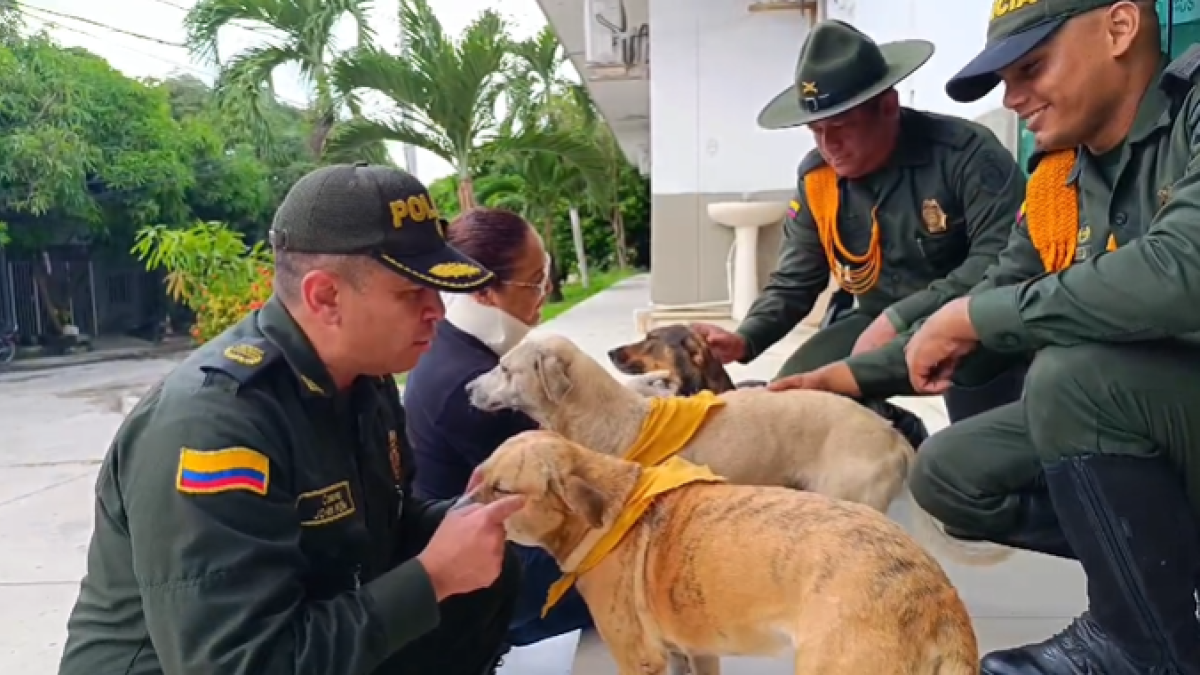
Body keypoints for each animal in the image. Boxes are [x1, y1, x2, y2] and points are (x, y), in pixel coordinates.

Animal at [468, 429, 974, 672]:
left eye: (501, 489)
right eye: (479, 476)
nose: (458, 504)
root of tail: (935, 596)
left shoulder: (639, 660)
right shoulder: (694, 653)